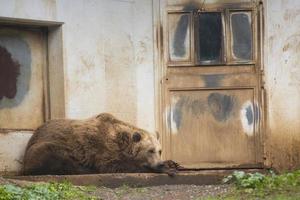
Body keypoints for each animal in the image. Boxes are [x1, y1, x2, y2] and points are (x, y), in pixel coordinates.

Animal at [22, 113, 180, 176]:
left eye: (159, 151)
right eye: (150, 150)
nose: (159, 163)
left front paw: (172, 163)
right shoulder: (102, 150)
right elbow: (115, 166)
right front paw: (167, 168)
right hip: (47, 146)